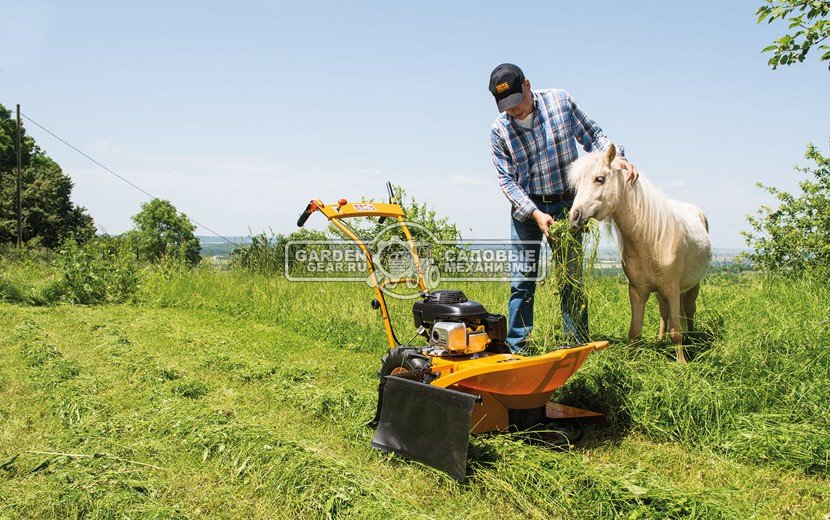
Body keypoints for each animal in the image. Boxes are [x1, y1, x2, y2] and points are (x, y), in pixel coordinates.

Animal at [568, 146, 712, 364]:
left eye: (600, 179)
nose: (574, 217)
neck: (650, 239)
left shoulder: (671, 288)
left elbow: (676, 331)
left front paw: (682, 363)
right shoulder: (637, 290)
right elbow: (635, 331)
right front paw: (631, 361)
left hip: (691, 286)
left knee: (688, 311)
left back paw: (691, 340)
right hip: (662, 293)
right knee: (664, 312)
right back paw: (661, 341)